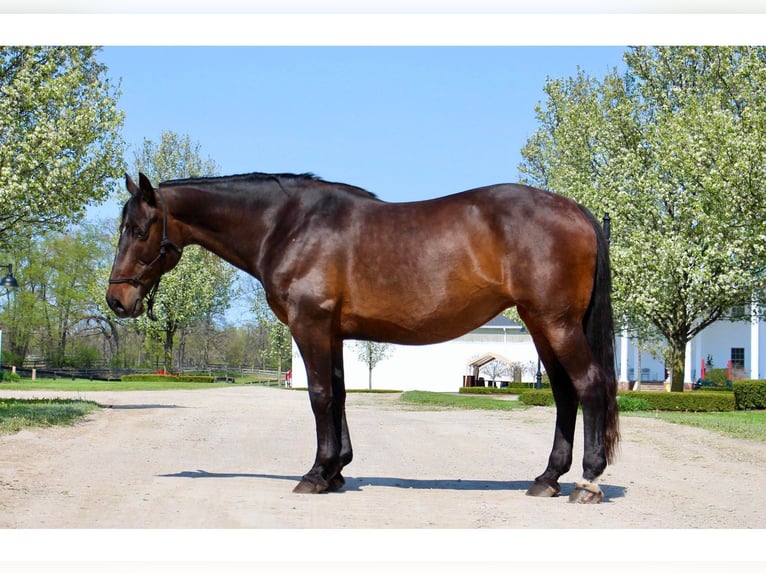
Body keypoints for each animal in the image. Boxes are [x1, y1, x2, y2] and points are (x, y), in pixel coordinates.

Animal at [108, 171, 620, 504]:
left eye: (139, 229)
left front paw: (316, 474)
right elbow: (338, 395)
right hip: (541, 324)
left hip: (554, 322)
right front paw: (337, 470)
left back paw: (587, 482)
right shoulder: (332, 332)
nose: (116, 299)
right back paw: (547, 478)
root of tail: (576, 210)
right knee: (564, 394)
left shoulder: (310, 325)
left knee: (589, 386)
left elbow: (318, 396)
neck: (289, 225)